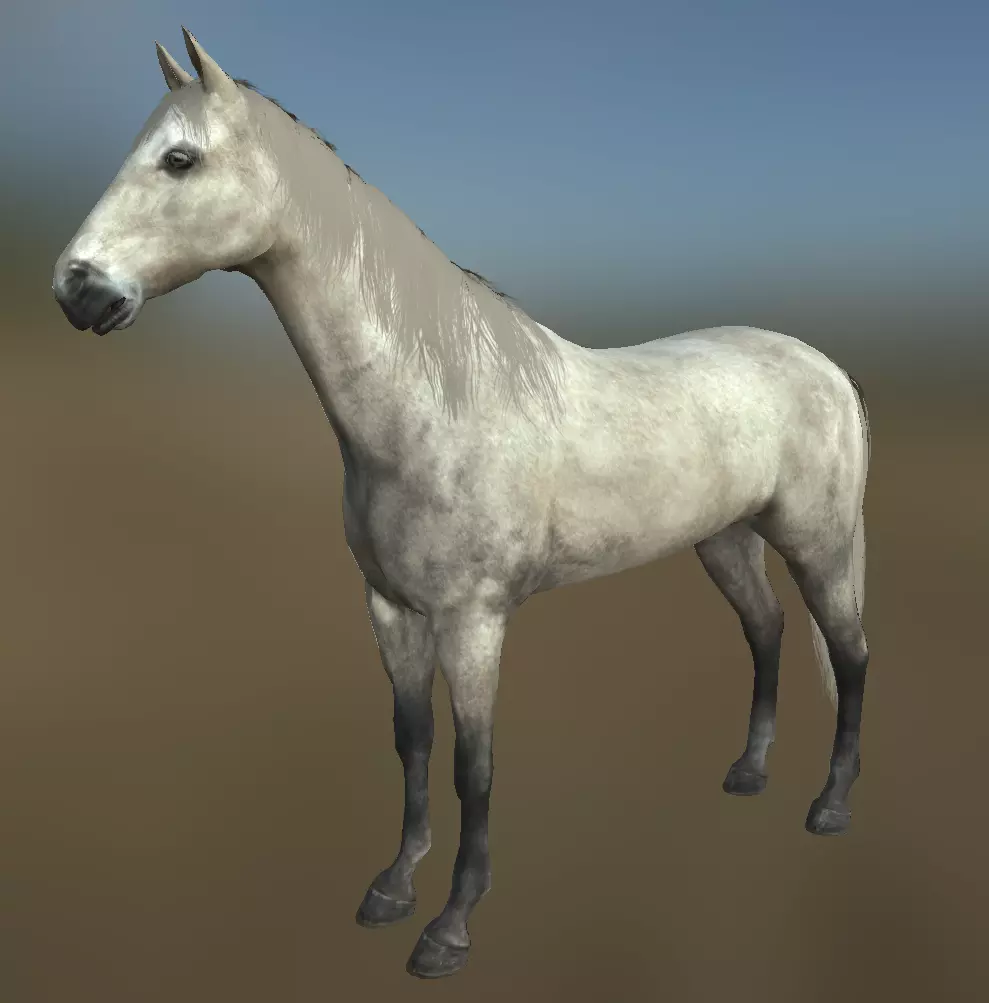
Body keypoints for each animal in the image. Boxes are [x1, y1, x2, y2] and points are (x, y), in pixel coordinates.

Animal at [52, 28, 871, 980]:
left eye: (179, 159)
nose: (78, 289)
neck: (433, 402)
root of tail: (821, 363)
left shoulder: (474, 617)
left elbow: (471, 764)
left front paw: (448, 928)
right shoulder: (390, 608)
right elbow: (411, 742)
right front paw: (390, 887)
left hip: (816, 541)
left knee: (848, 653)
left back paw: (829, 806)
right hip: (724, 540)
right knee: (766, 631)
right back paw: (746, 773)